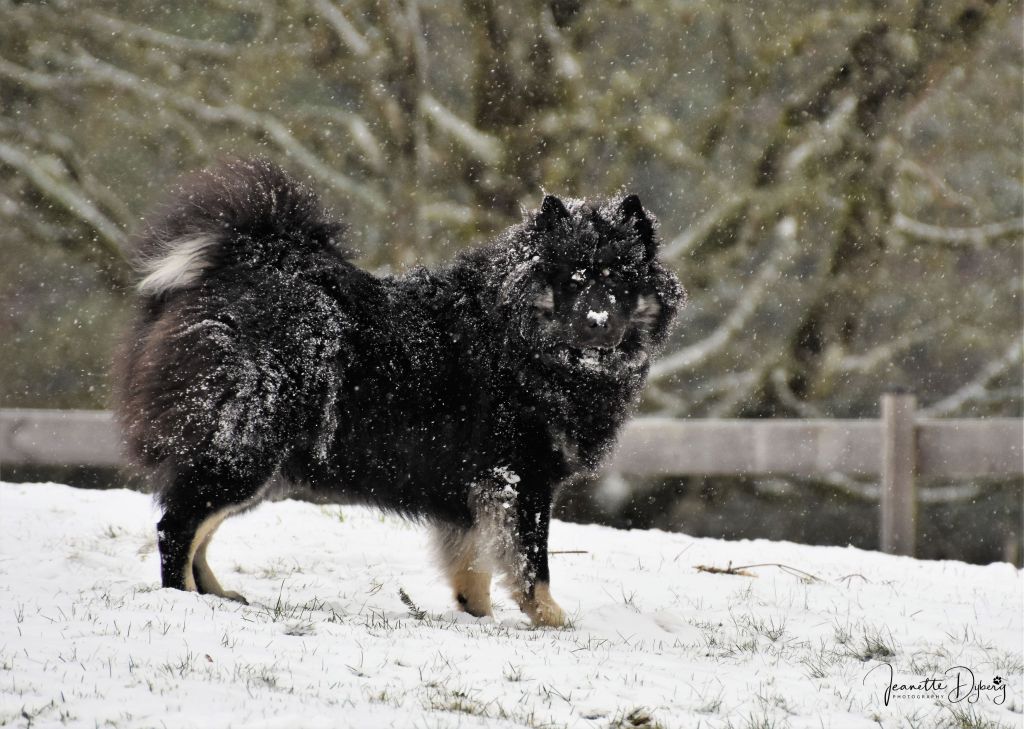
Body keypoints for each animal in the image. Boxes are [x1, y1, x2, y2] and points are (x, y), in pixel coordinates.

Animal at [114, 159, 683, 626]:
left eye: (621, 282)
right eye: (572, 280)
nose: (597, 322)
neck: (520, 344)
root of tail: (253, 261)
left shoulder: (475, 485)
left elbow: (473, 562)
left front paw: (476, 613)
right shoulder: (519, 477)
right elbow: (531, 562)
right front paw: (550, 617)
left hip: (259, 464)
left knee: (197, 529)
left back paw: (216, 595)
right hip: (248, 448)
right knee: (177, 527)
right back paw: (183, 601)